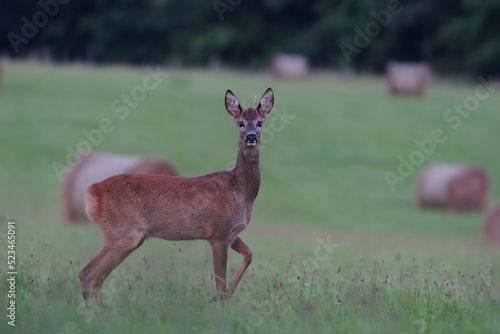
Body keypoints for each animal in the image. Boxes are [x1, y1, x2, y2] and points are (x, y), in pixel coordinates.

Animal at [79, 87, 274, 302]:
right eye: (240, 123)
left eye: (260, 122)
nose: (251, 137)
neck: (240, 191)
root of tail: (92, 191)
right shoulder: (218, 232)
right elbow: (219, 283)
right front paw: (219, 302)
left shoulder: (231, 233)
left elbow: (249, 254)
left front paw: (227, 295)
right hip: (123, 232)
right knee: (88, 274)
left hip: (127, 236)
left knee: (96, 277)